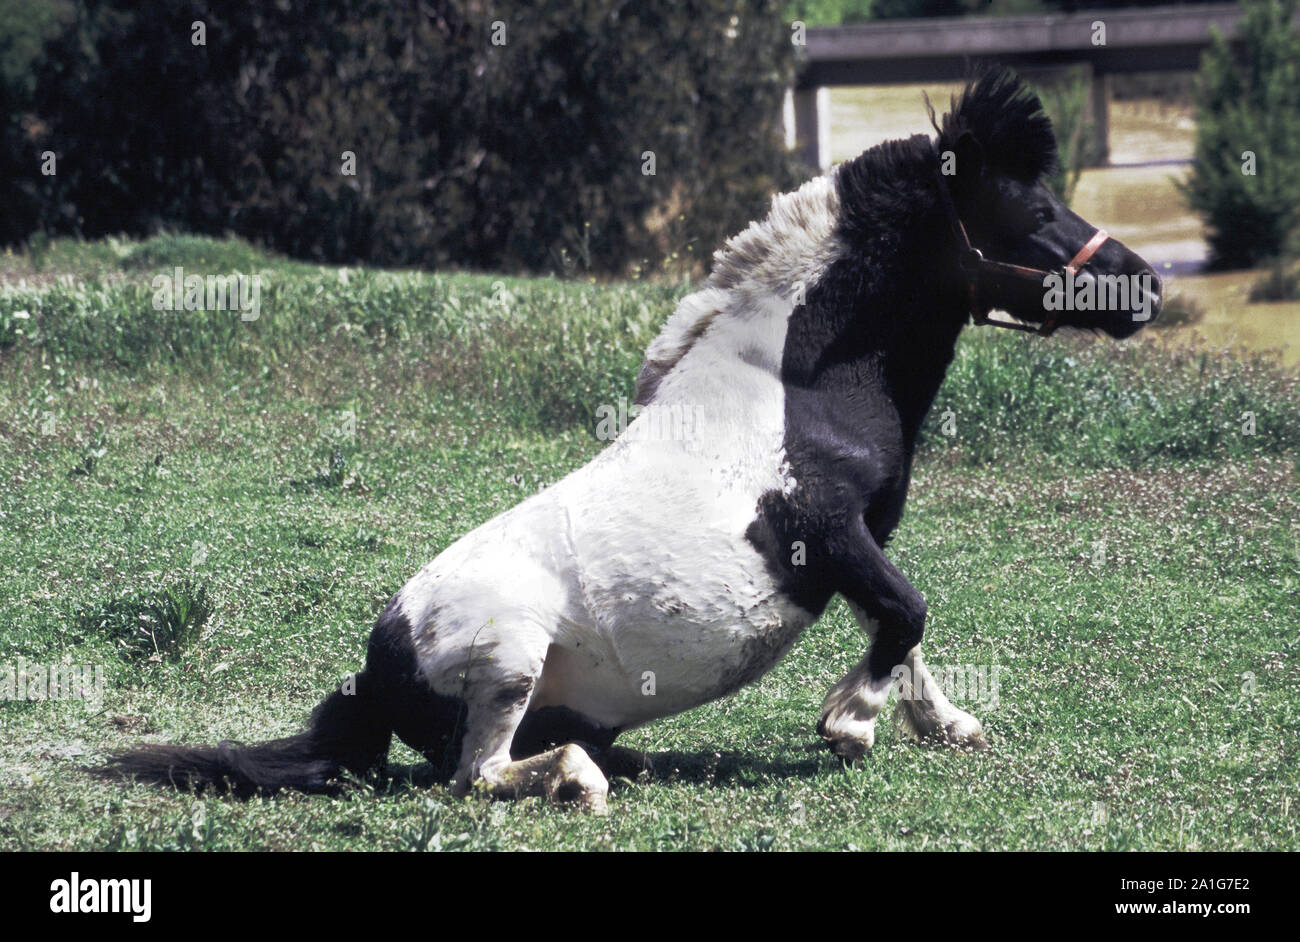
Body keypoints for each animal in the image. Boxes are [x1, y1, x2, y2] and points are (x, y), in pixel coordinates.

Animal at [102, 70, 1161, 812]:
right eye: (1032, 211)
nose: (1144, 285)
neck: (796, 386)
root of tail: (381, 665)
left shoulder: (859, 541)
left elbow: (901, 629)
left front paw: (944, 723)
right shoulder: (823, 529)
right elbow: (906, 614)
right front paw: (848, 727)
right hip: (511, 657)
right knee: (479, 773)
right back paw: (575, 777)